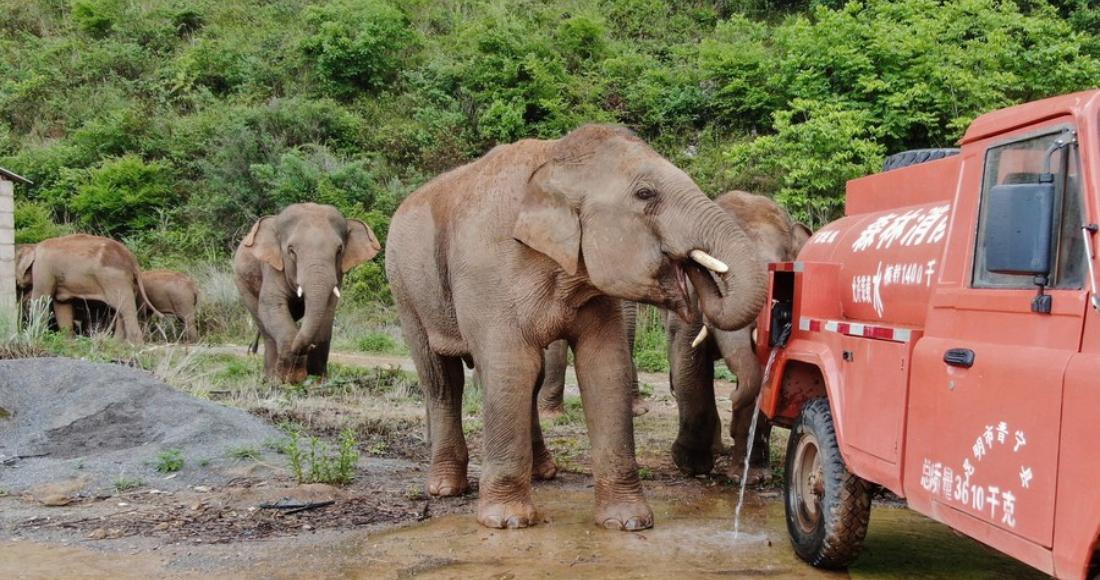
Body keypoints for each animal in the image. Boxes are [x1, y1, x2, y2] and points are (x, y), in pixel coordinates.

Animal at [17, 234, 160, 344]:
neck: (33, 246)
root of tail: (133, 261)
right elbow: (62, 305)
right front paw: (67, 342)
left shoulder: (43, 268)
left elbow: (41, 299)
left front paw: (36, 338)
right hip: (128, 283)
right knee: (121, 309)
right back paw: (116, 344)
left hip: (116, 280)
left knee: (125, 307)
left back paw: (134, 346)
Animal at [234, 203, 381, 383]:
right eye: (291, 250)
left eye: (339, 250)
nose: (308, 346)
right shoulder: (273, 266)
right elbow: (272, 306)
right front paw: (290, 378)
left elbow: (327, 312)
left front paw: (317, 380)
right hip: (242, 283)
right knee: (263, 323)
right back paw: (271, 379)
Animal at [385, 125, 767, 532]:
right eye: (645, 194)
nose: (694, 266)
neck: (553, 160)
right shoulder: (488, 273)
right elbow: (510, 367)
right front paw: (507, 522)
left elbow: (604, 367)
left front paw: (628, 523)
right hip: (404, 287)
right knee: (441, 379)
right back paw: (445, 488)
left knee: (528, 376)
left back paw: (542, 473)